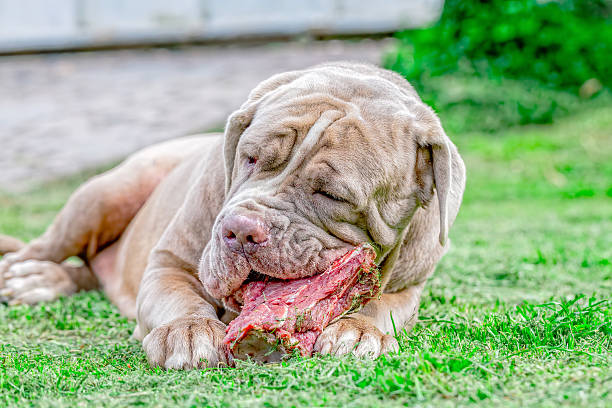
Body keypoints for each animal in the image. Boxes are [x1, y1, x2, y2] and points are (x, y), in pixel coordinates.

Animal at [0, 61, 464, 370]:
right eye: (250, 157)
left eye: (331, 194)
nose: (241, 231)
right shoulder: (169, 261)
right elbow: (178, 296)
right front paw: (187, 332)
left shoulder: (411, 285)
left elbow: (383, 306)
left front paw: (357, 330)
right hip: (104, 195)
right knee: (44, 249)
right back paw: (31, 276)